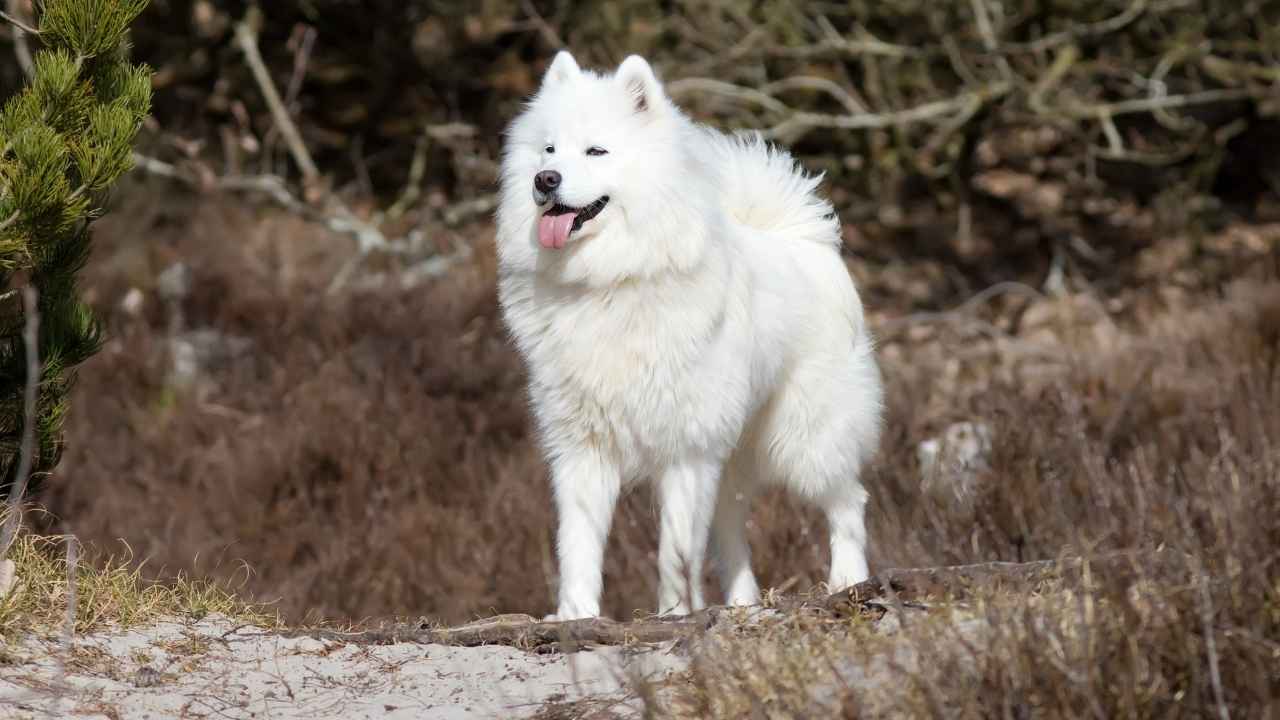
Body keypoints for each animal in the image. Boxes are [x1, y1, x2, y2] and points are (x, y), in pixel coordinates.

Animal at [494, 50, 885, 617]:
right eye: (548, 148)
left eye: (596, 150)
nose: (546, 179)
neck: (609, 281)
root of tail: (804, 241)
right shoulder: (583, 446)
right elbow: (578, 543)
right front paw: (576, 615)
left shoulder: (687, 448)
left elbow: (674, 551)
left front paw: (675, 613)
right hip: (734, 457)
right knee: (730, 532)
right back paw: (741, 604)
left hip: (806, 440)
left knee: (847, 502)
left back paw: (847, 581)